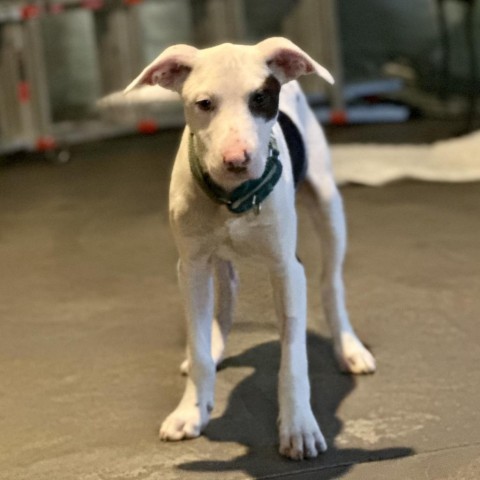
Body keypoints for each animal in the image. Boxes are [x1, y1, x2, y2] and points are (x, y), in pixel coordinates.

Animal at [124, 38, 376, 462]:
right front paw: (192, 408)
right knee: (226, 294)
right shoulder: (191, 267)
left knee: (331, 283)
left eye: (260, 98)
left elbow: (293, 359)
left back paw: (348, 346)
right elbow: (198, 345)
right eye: (204, 104)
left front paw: (298, 427)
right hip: (213, 262)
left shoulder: (287, 270)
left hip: (328, 205)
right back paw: (214, 346)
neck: (233, 199)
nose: (237, 160)